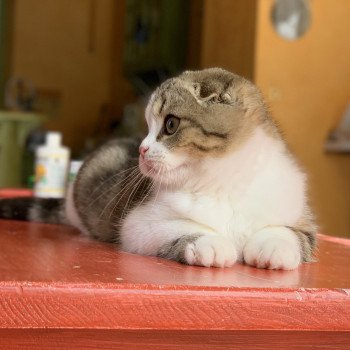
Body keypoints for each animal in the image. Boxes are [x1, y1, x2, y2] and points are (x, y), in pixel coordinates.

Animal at [0, 69, 318, 270]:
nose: (141, 149)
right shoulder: (139, 223)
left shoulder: (300, 216)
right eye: (147, 126)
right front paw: (208, 242)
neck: (220, 181)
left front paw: (274, 247)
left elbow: (290, 233)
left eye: (171, 124)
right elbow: (181, 226)